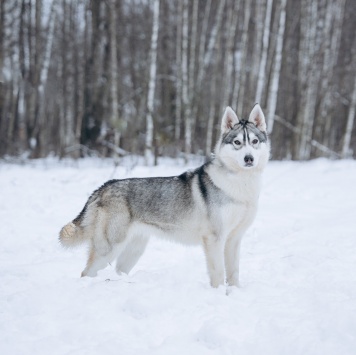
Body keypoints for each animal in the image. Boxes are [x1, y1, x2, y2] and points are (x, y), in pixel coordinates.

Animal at [59, 104, 270, 288]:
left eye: (254, 141)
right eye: (237, 142)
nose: (249, 159)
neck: (240, 185)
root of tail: (104, 186)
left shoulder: (234, 239)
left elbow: (233, 272)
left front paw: (235, 292)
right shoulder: (215, 239)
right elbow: (218, 274)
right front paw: (219, 294)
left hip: (134, 250)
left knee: (119, 271)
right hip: (109, 249)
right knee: (86, 273)